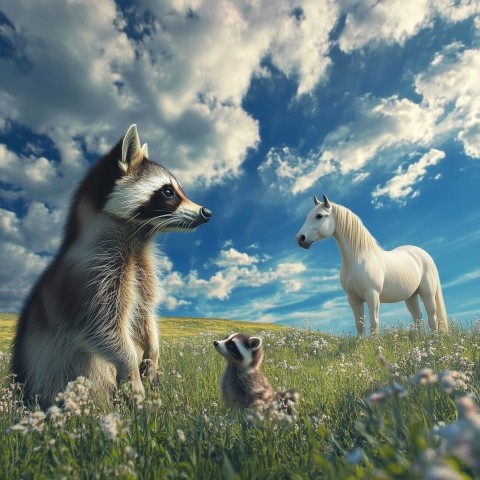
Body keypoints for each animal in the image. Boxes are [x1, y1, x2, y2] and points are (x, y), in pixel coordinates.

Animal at [12, 124, 211, 408]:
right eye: (168, 192)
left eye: (179, 190)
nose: (207, 213)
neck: (138, 238)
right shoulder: (91, 279)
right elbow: (104, 330)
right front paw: (130, 367)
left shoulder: (142, 271)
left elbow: (143, 315)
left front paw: (152, 351)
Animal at [294, 193, 448, 336]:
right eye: (308, 216)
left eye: (319, 216)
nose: (300, 238)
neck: (359, 258)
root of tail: (424, 254)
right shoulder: (353, 299)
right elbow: (359, 325)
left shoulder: (372, 295)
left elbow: (373, 323)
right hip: (410, 296)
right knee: (417, 318)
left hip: (427, 293)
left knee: (432, 318)